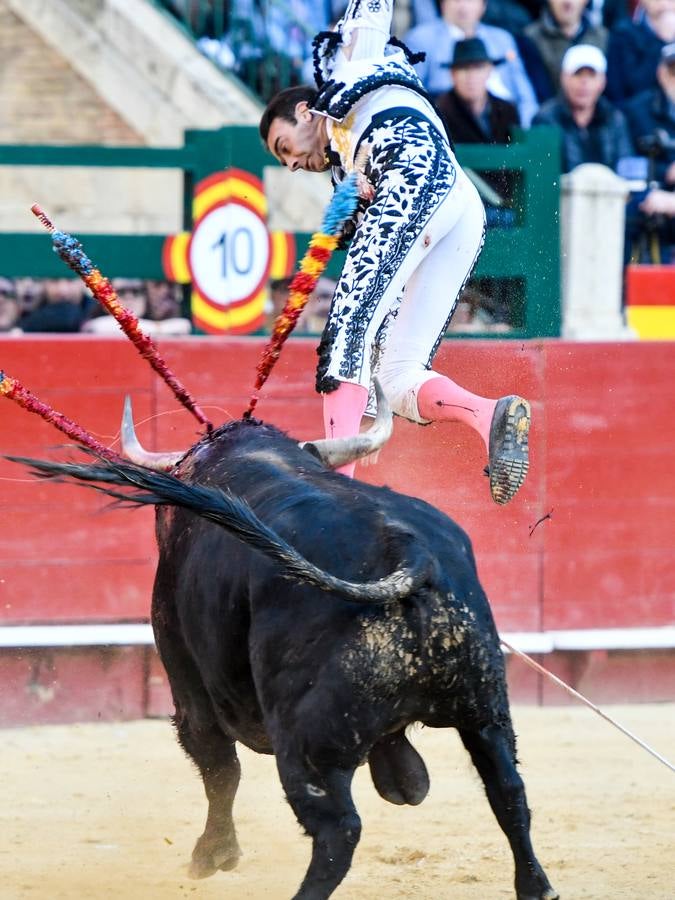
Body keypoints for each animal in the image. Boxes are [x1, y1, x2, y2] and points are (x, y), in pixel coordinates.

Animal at [11, 388, 560, 900]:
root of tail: (411, 553)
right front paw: (408, 781)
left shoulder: (186, 678)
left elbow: (217, 765)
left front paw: (213, 855)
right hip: (485, 708)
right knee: (508, 790)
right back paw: (536, 885)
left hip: (305, 742)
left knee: (338, 829)